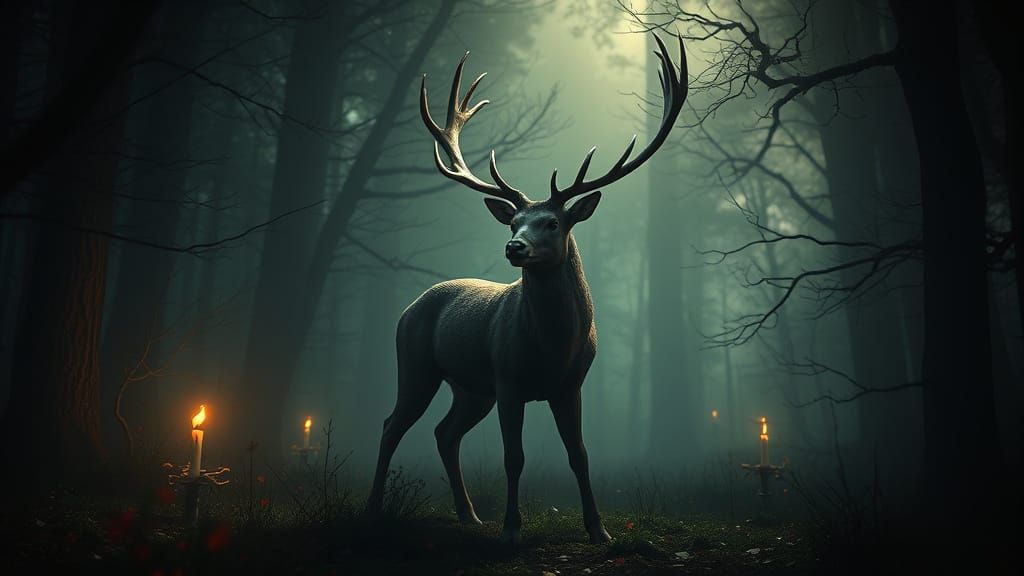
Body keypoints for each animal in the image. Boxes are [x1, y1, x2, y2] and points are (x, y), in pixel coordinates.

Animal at [365, 33, 687, 545]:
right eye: (514, 220)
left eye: (553, 222)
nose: (514, 246)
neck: (552, 347)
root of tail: (411, 306)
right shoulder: (510, 379)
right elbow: (513, 458)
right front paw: (512, 530)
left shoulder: (570, 385)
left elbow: (580, 455)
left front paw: (599, 530)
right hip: (416, 363)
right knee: (391, 425)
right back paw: (375, 509)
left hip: (471, 388)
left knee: (444, 432)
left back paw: (469, 515)